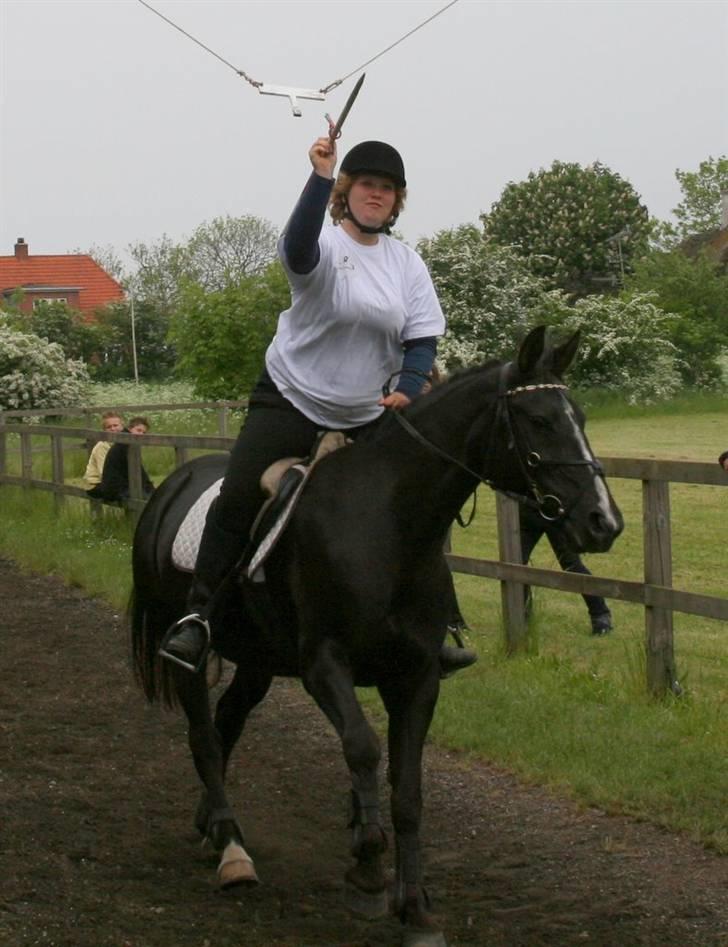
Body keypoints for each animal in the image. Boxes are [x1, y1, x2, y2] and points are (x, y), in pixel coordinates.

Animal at [128, 328, 624, 947]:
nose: (604, 522)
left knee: (228, 723)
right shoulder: (325, 665)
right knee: (204, 734)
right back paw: (232, 847)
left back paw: (211, 826)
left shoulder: (417, 676)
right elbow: (363, 750)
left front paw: (414, 907)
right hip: (192, 655)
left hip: (259, 662)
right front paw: (366, 868)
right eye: (539, 421)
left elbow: (407, 791)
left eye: (578, 416)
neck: (386, 521)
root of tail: (170, 488)